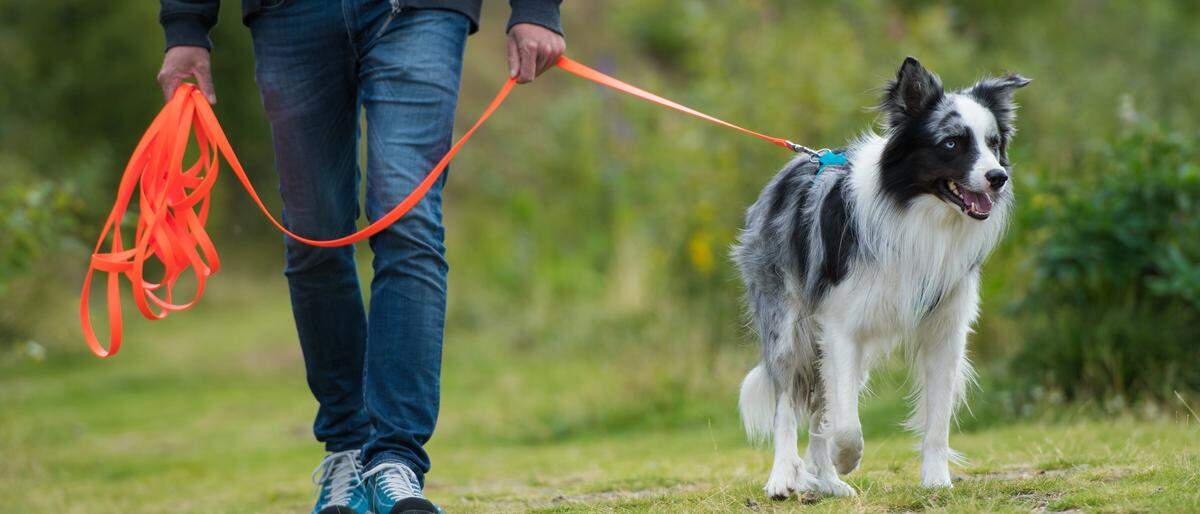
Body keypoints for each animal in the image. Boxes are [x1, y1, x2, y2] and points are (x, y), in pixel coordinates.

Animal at [729, 57, 1032, 497]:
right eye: (952, 143)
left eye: (993, 143)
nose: (998, 177)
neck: (918, 211)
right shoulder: (840, 326)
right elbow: (844, 423)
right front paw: (846, 457)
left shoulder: (945, 330)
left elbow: (936, 420)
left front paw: (937, 481)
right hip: (786, 326)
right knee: (788, 403)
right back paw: (784, 477)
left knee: (821, 404)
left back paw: (828, 483)